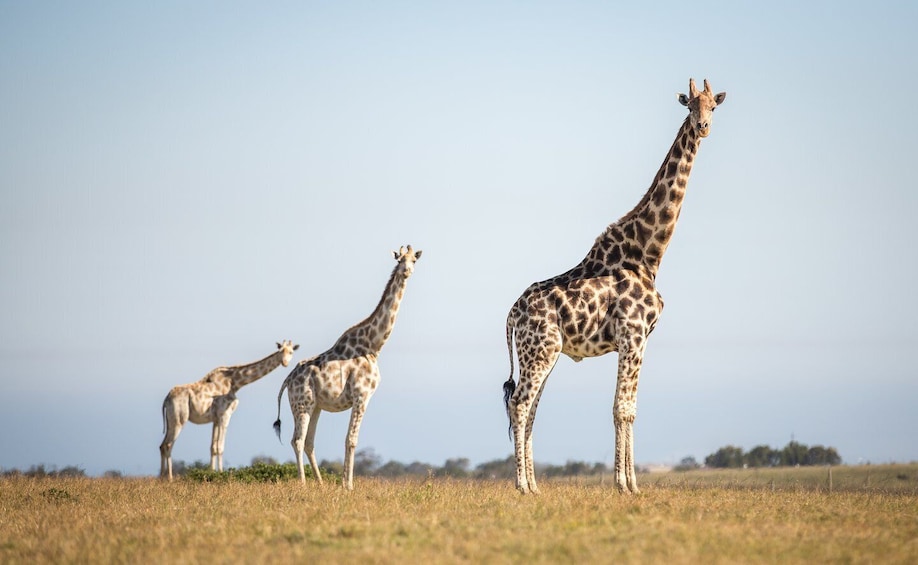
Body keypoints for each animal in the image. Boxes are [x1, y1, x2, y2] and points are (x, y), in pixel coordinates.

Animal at [158, 340, 300, 480]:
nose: (285, 363)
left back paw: (161, 477)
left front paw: (211, 473)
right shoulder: (225, 415)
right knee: (168, 445)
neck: (235, 382)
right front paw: (222, 474)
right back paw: (169, 478)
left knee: (162, 445)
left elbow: (213, 447)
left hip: (171, 420)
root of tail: (166, 399)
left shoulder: (215, 419)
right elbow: (220, 447)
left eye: (291, 352)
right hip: (179, 419)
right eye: (280, 351)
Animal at [276, 243, 424, 490]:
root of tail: (287, 380)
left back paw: (320, 483)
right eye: (399, 259)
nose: (406, 271)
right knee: (297, 440)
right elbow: (351, 440)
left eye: (414, 260)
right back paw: (304, 484)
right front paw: (348, 486)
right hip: (302, 403)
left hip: (315, 405)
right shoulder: (362, 395)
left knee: (309, 442)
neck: (374, 345)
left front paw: (344, 484)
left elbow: (348, 440)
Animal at [504, 78, 724, 494]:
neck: (649, 253)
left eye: (713, 107)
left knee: (531, 407)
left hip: (542, 354)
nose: (703, 127)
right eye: (690, 106)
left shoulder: (639, 340)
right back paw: (522, 485)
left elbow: (630, 409)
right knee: (520, 403)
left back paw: (536, 486)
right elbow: (622, 408)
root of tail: (510, 317)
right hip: (539, 351)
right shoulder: (632, 334)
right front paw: (625, 485)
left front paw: (632, 484)